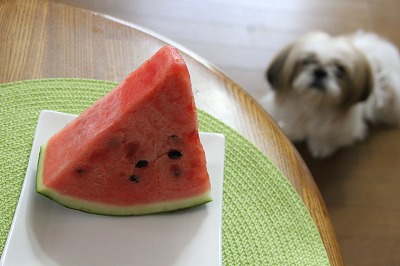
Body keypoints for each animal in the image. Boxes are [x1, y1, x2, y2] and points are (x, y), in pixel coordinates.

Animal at [262, 31, 400, 158]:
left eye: (340, 69)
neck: (314, 103)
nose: (320, 71)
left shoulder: (337, 128)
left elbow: (324, 136)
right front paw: (291, 132)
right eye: (307, 61)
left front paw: (322, 146)